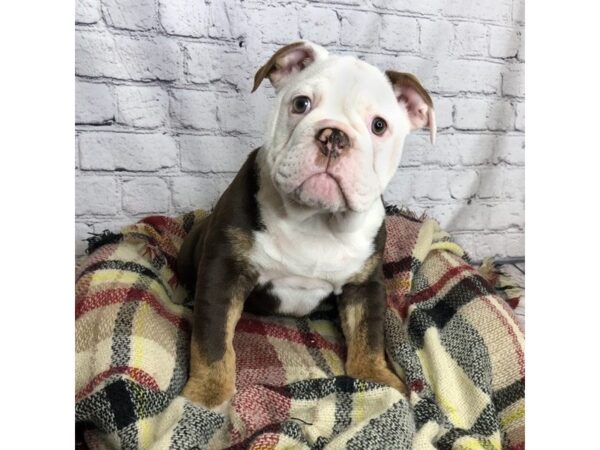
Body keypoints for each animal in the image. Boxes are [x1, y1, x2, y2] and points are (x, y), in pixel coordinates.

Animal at [176, 41, 434, 408]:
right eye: (301, 104)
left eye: (379, 126)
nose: (333, 136)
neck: (315, 220)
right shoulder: (224, 271)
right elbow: (212, 340)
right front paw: (207, 398)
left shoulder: (365, 285)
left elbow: (368, 335)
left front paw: (376, 380)